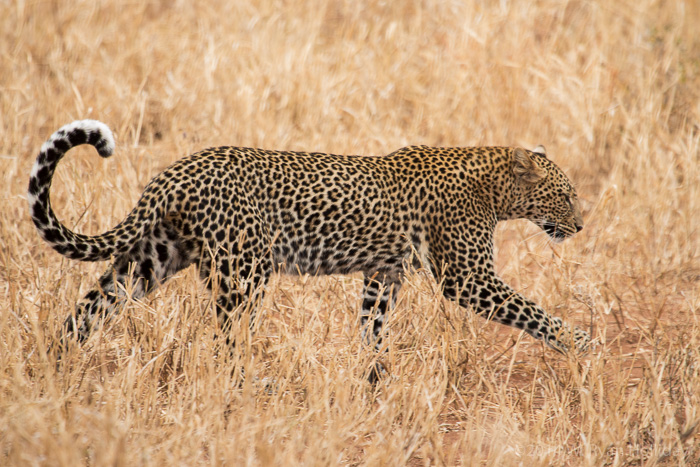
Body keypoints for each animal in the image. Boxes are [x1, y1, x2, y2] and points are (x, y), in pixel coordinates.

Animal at [28, 120, 590, 381]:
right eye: (565, 195)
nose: (581, 225)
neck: (493, 187)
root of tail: (172, 175)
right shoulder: (466, 279)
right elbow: (533, 312)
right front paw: (582, 345)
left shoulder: (383, 274)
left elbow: (372, 327)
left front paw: (374, 379)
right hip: (243, 272)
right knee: (227, 344)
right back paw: (249, 388)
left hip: (149, 260)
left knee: (86, 312)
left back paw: (51, 370)